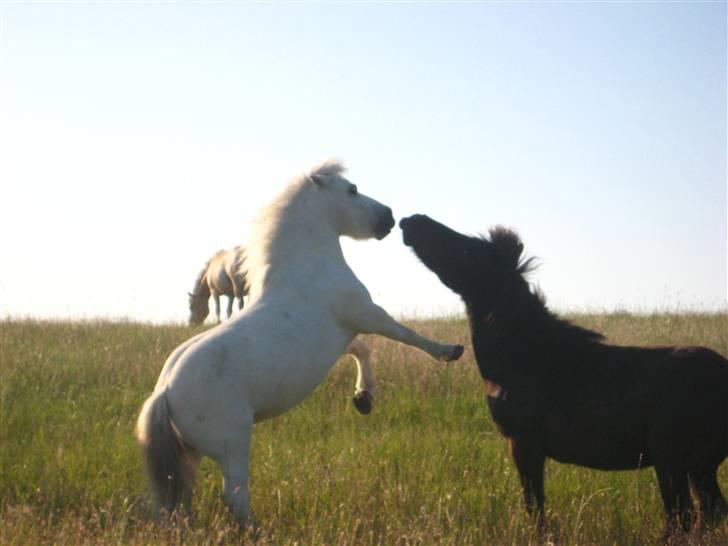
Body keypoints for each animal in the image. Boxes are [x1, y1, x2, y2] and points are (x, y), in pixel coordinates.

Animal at [136, 161, 464, 527]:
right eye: (352, 190)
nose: (389, 217)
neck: (307, 269)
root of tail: (164, 393)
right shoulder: (366, 314)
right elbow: (406, 335)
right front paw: (450, 351)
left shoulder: (342, 336)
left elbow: (362, 351)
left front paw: (363, 398)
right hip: (233, 444)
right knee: (234, 495)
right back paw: (258, 530)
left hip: (190, 453)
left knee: (184, 498)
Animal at [399, 213, 728, 539]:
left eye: (469, 249)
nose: (411, 221)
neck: (508, 362)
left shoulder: (523, 441)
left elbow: (535, 506)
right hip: (700, 465)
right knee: (708, 513)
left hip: (672, 458)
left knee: (683, 517)